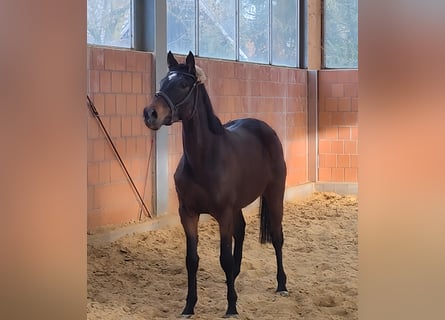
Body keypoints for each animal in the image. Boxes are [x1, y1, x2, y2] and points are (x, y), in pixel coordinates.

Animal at [143, 51, 288, 316]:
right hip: (238, 207)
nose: (150, 113)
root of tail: (264, 128)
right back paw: (235, 278)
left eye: (183, 84)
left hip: (275, 194)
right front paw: (189, 306)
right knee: (241, 231)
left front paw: (231, 306)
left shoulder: (223, 214)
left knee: (277, 236)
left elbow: (225, 258)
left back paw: (281, 285)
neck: (204, 159)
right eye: (162, 82)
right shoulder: (188, 213)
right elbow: (192, 260)